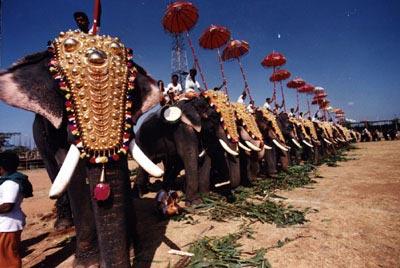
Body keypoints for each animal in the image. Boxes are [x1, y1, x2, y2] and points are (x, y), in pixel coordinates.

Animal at [0, 30, 164, 266]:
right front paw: (88, 263)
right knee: (54, 172)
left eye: (130, 95)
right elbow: (73, 173)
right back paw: (63, 225)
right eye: (65, 94)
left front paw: (134, 246)